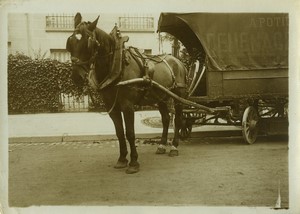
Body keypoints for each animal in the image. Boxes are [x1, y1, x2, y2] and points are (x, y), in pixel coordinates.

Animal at [66, 13, 188, 173]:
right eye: (70, 42)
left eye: (88, 43)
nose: (76, 77)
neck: (116, 65)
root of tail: (178, 61)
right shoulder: (112, 107)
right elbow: (119, 133)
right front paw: (122, 159)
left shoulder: (128, 106)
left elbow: (130, 133)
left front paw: (134, 162)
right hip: (160, 96)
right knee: (166, 119)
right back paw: (162, 145)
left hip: (178, 95)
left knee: (178, 119)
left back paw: (174, 146)